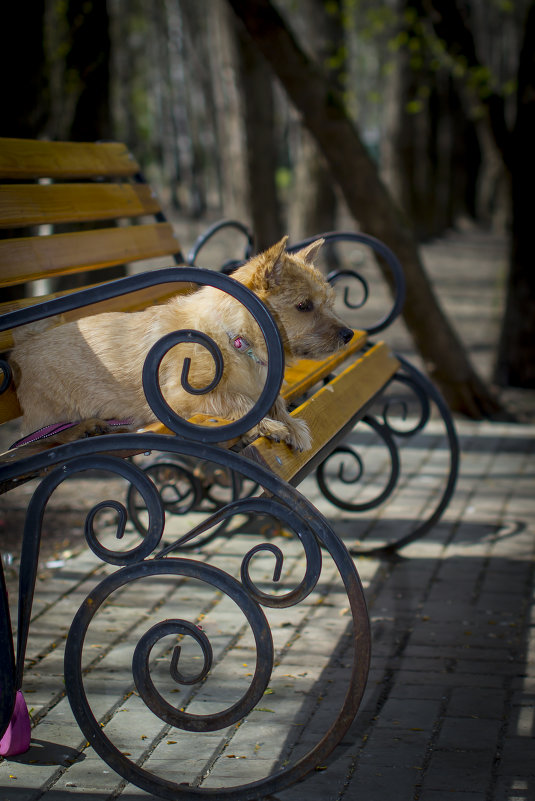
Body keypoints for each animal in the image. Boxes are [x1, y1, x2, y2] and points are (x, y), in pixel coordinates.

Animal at [10, 236, 354, 450]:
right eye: (303, 306)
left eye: (329, 302)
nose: (348, 334)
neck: (234, 337)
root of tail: (21, 347)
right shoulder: (181, 397)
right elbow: (235, 402)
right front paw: (271, 427)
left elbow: (275, 403)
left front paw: (291, 425)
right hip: (49, 412)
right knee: (38, 436)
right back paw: (83, 427)